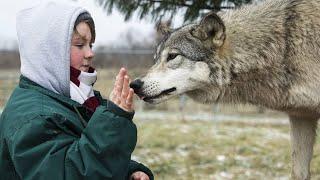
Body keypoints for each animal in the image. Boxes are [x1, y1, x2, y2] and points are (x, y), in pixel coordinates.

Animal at [129, 0, 320, 179]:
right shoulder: (301, 116)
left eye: (172, 56)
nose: (135, 84)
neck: (283, 45)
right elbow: (299, 173)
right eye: (156, 59)